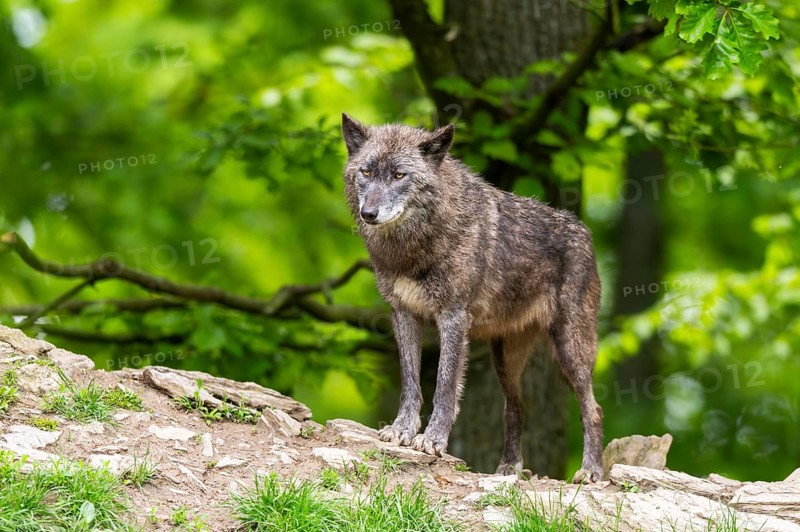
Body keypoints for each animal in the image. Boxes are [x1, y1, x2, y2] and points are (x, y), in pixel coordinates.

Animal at [341, 113, 604, 483]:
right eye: (365, 171)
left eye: (399, 175)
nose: (369, 213)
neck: (411, 249)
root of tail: (583, 231)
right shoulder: (403, 314)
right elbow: (410, 383)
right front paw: (401, 430)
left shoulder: (453, 318)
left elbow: (445, 387)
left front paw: (433, 440)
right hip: (505, 360)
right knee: (516, 408)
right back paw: (509, 468)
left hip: (570, 350)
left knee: (593, 408)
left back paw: (591, 470)